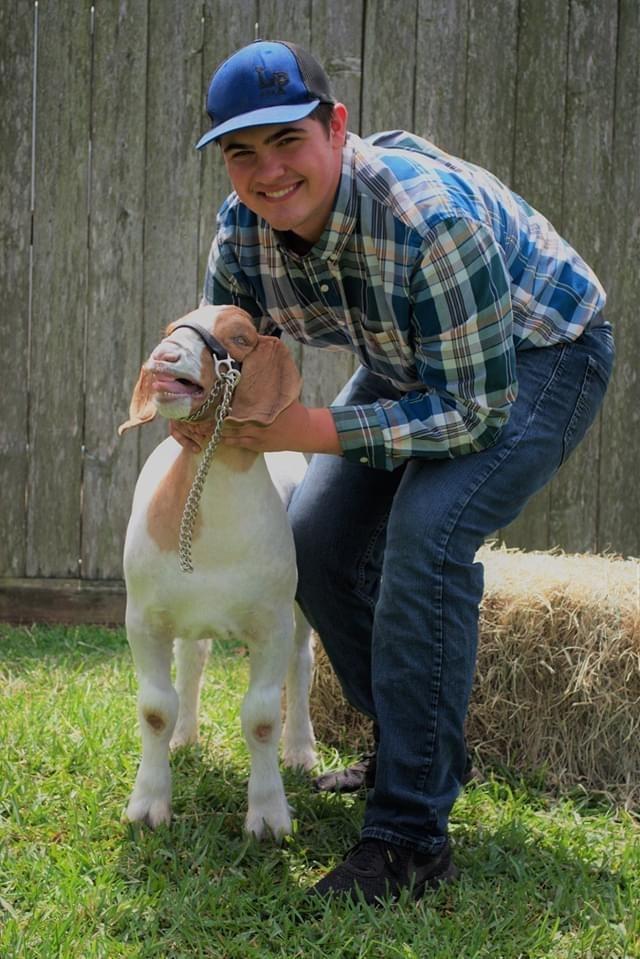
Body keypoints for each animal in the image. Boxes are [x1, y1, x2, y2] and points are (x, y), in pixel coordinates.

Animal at [117, 304, 318, 836]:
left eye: (241, 337)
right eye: (170, 329)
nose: (165, 356)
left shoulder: (270, 623)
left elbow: (262, 718)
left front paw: (268, 816)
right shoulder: (143, 618)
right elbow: (154, 710)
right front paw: (149, 805)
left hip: (297, 610)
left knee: (301, 663)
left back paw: (300, 752)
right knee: (192, 660)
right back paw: (185, 737)